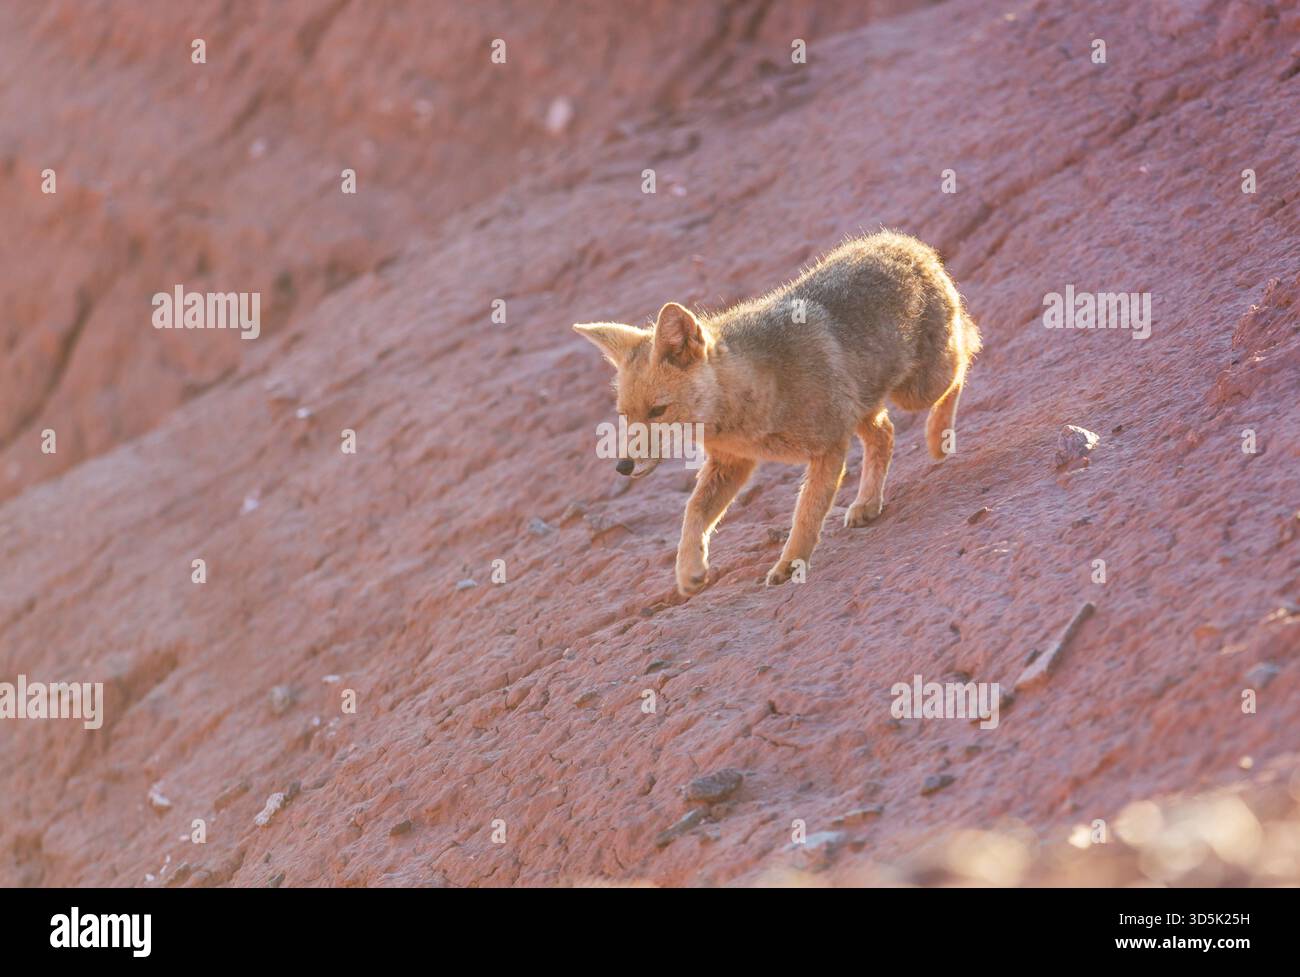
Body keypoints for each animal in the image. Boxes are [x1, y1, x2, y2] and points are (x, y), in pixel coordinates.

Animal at [574, 230, 982, 598]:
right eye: (624, 415)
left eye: (657, 411)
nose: (622, 466)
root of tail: (906, 241)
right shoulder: (731, 463)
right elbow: (693, 513)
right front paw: (689, 569)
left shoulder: (828, 447)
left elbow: (806, 514)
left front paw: (790, 564)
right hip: (863, 407)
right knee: (886, 432)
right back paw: (867, 503)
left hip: (918, 390)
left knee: (969, 345)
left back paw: (939, 436)